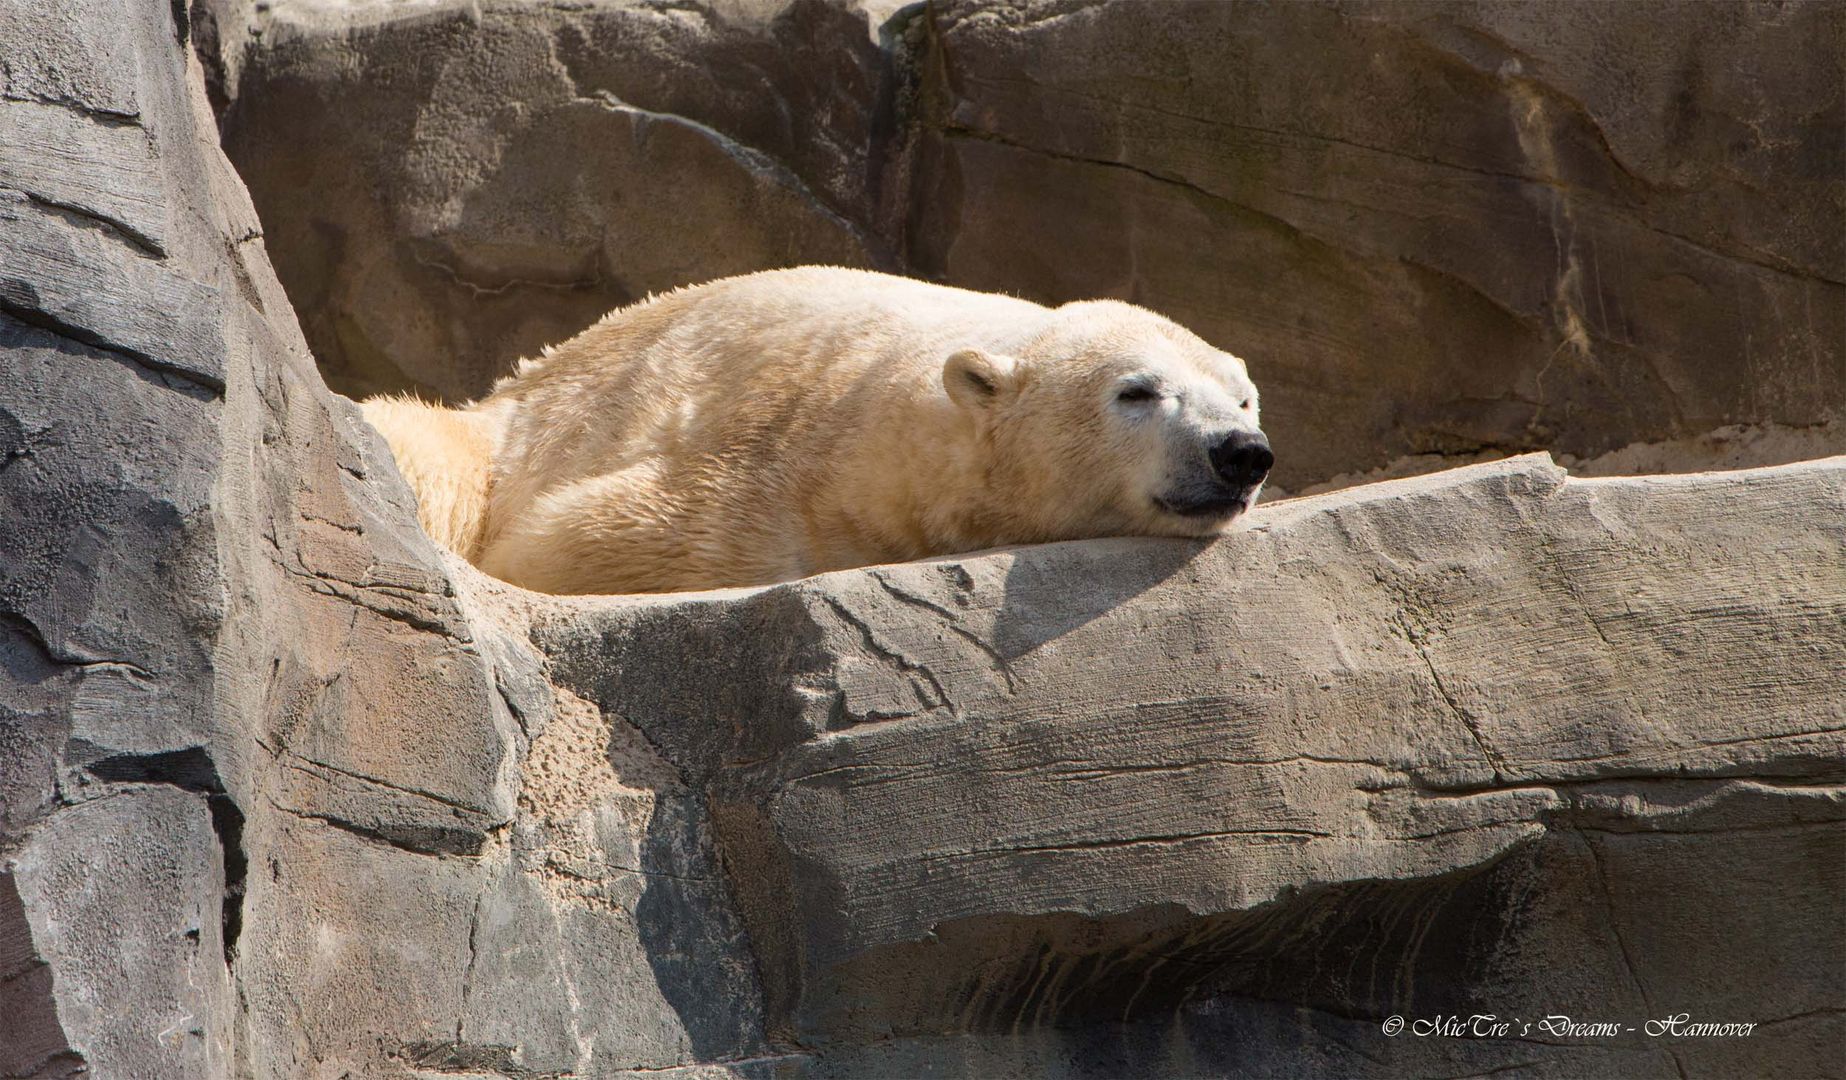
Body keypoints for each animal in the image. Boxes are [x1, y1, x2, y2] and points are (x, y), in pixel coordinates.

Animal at [367, 265, 1277, 594]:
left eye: (1242, 399)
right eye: (1137, 392)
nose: (1241, 455)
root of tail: (509, 387)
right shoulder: (757, 482)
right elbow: (565, 540)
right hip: (483, 444)